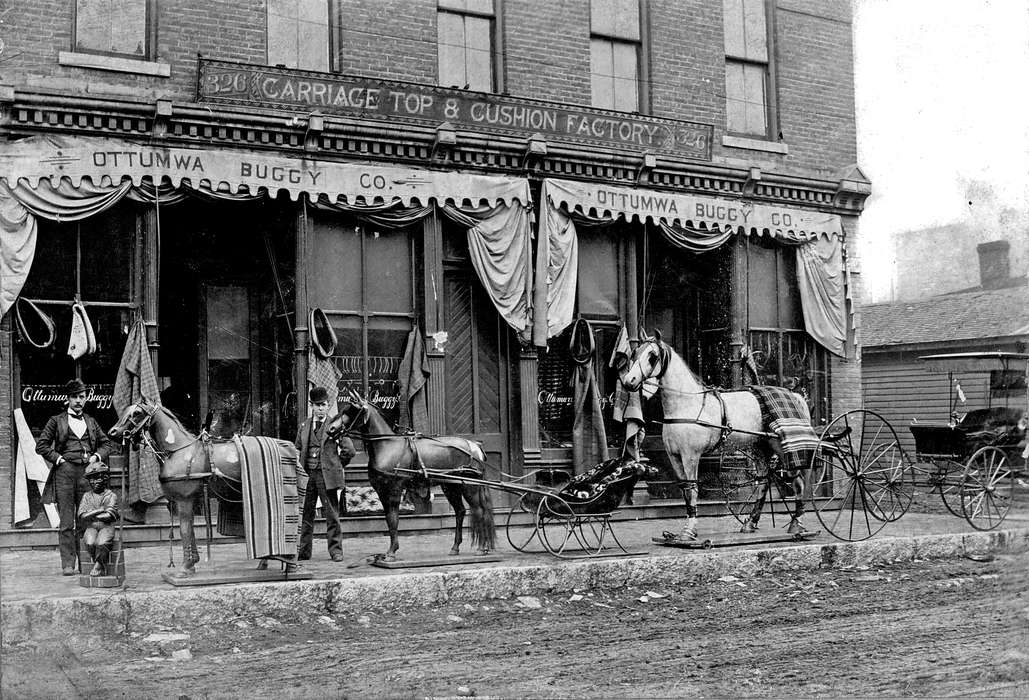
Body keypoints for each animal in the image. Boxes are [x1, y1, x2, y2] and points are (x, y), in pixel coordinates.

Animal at [325, 393, 493, 564]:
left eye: (352, 410)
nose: (330, 429)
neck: (386, 446)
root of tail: (474, 445)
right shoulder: (382, 492)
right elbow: (389, 519)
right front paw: (389, 551)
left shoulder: (394, 490)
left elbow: (393, 519)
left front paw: (392, 552)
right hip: (451, 487)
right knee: (460, 511)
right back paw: (456, 548)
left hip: (470, 486)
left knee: (479, 510)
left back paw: (481, 548)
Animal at [617, 333, 802, 539]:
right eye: (635, 353)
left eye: (652, 356)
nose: (629, 380)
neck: (687, 403)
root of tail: (795, 395)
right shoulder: (674, 456)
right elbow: (685, 489)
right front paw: (687, 528)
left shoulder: (691, 455)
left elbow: (693, 489)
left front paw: (689, 530)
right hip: (760, 448)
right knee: (764, 481)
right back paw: (750, 523)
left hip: (783, 447)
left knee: (797, 480)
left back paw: (796, 524)